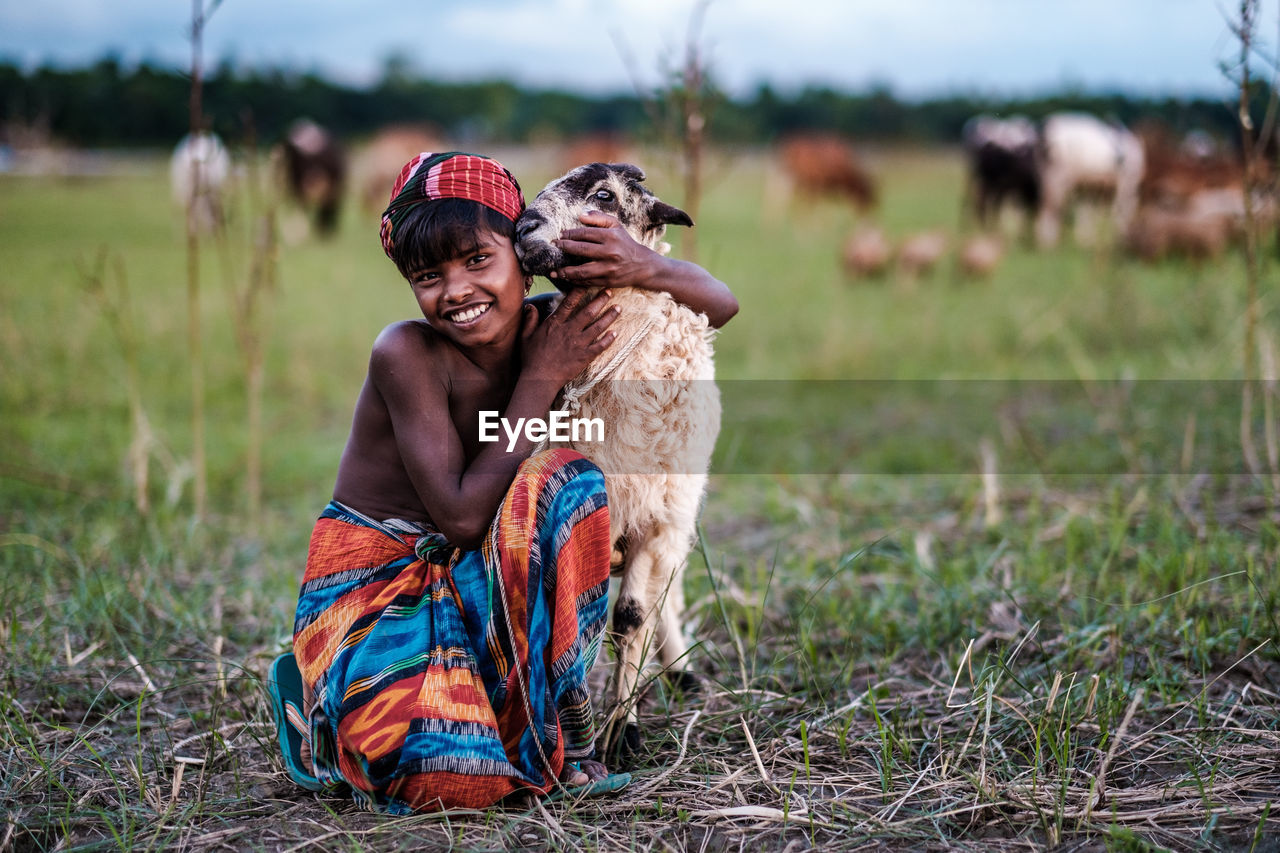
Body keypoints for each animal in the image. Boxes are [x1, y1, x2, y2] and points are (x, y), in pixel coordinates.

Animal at [514, 162, 727, 753]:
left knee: (666, 596)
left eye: (605, 196)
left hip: (677, 516)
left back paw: (680, 671)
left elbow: (631, 619)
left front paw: (621, 731)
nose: (523, 227)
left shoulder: (654, 525)